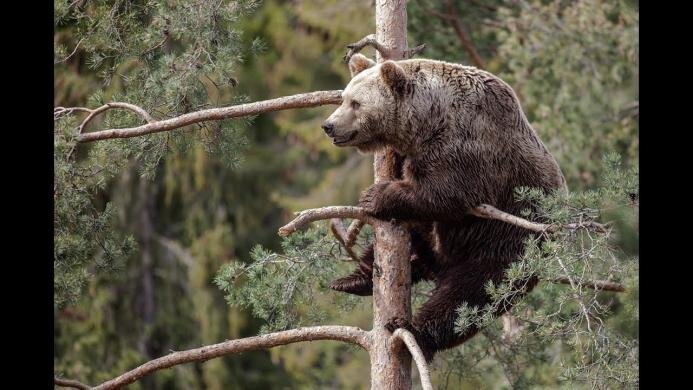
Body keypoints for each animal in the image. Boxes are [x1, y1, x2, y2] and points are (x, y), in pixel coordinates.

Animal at [322, 53, 564, 362]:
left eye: (356, 103)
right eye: (343, 98)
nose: (329, 125)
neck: (429, 121)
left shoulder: (466, 148)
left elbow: (446, 194)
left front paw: (375, 196)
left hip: (507, 244)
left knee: (468, 297)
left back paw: (412, 330)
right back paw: (354, 280)